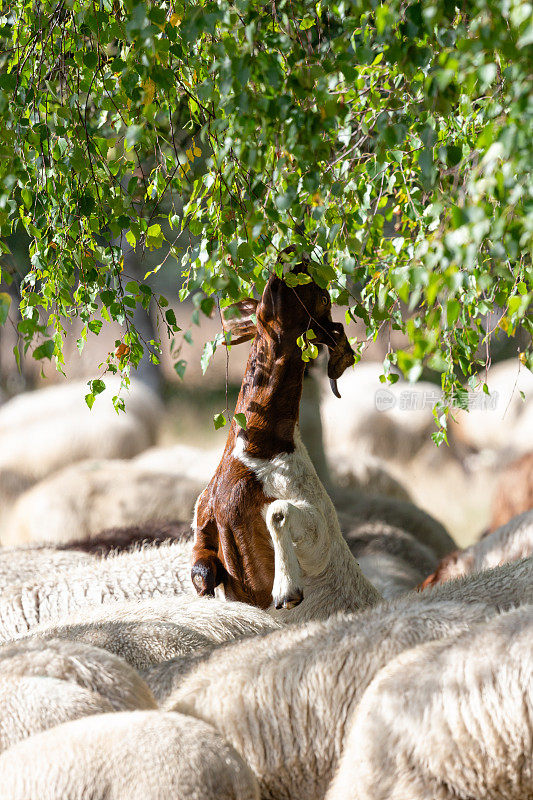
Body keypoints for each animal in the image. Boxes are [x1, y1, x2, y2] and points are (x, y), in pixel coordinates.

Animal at [189, 260, 356, 608]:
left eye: (323, 299)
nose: (293, 256)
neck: (258, 452)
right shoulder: (203, 522)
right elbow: (200, 570)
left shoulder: (317, 529)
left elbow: (278, 512)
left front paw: (286, 589)